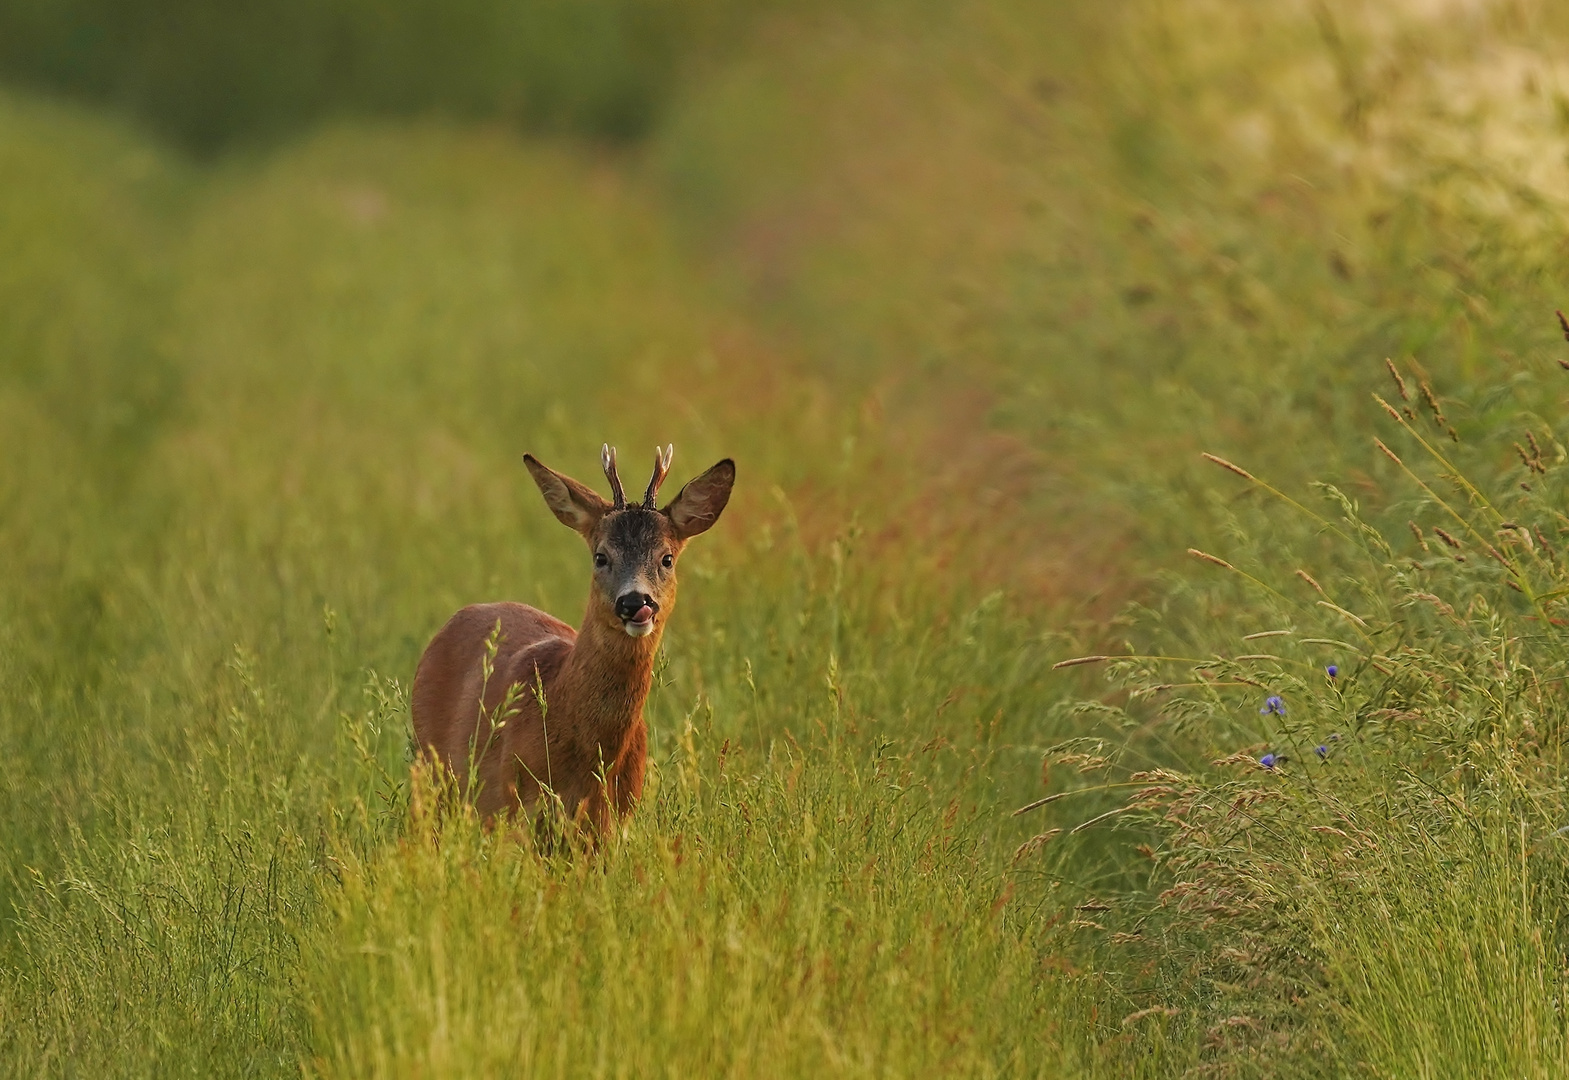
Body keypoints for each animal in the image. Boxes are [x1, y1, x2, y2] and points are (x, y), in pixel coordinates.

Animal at [414, 445, 737, 835]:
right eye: (601, 556)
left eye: (667, 558)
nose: (635, 603)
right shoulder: (511, 802)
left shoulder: (615, 819)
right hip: (434, 771)